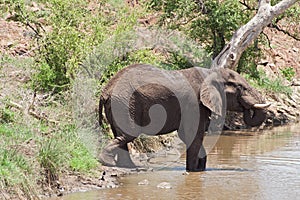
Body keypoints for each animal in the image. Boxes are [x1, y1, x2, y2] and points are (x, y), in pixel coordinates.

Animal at [98, 64, 270, 172]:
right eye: (241, 88)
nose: (247, 109)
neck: (211, 73)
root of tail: (106, 90)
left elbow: (188, 136)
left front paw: (201, 168)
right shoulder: (194, 103)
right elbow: (194, 135)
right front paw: (194, 171)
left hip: (119, 104)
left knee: (121, 135)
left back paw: (129, 167)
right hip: (125, 103)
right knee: (129, 134)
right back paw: (107, 161)